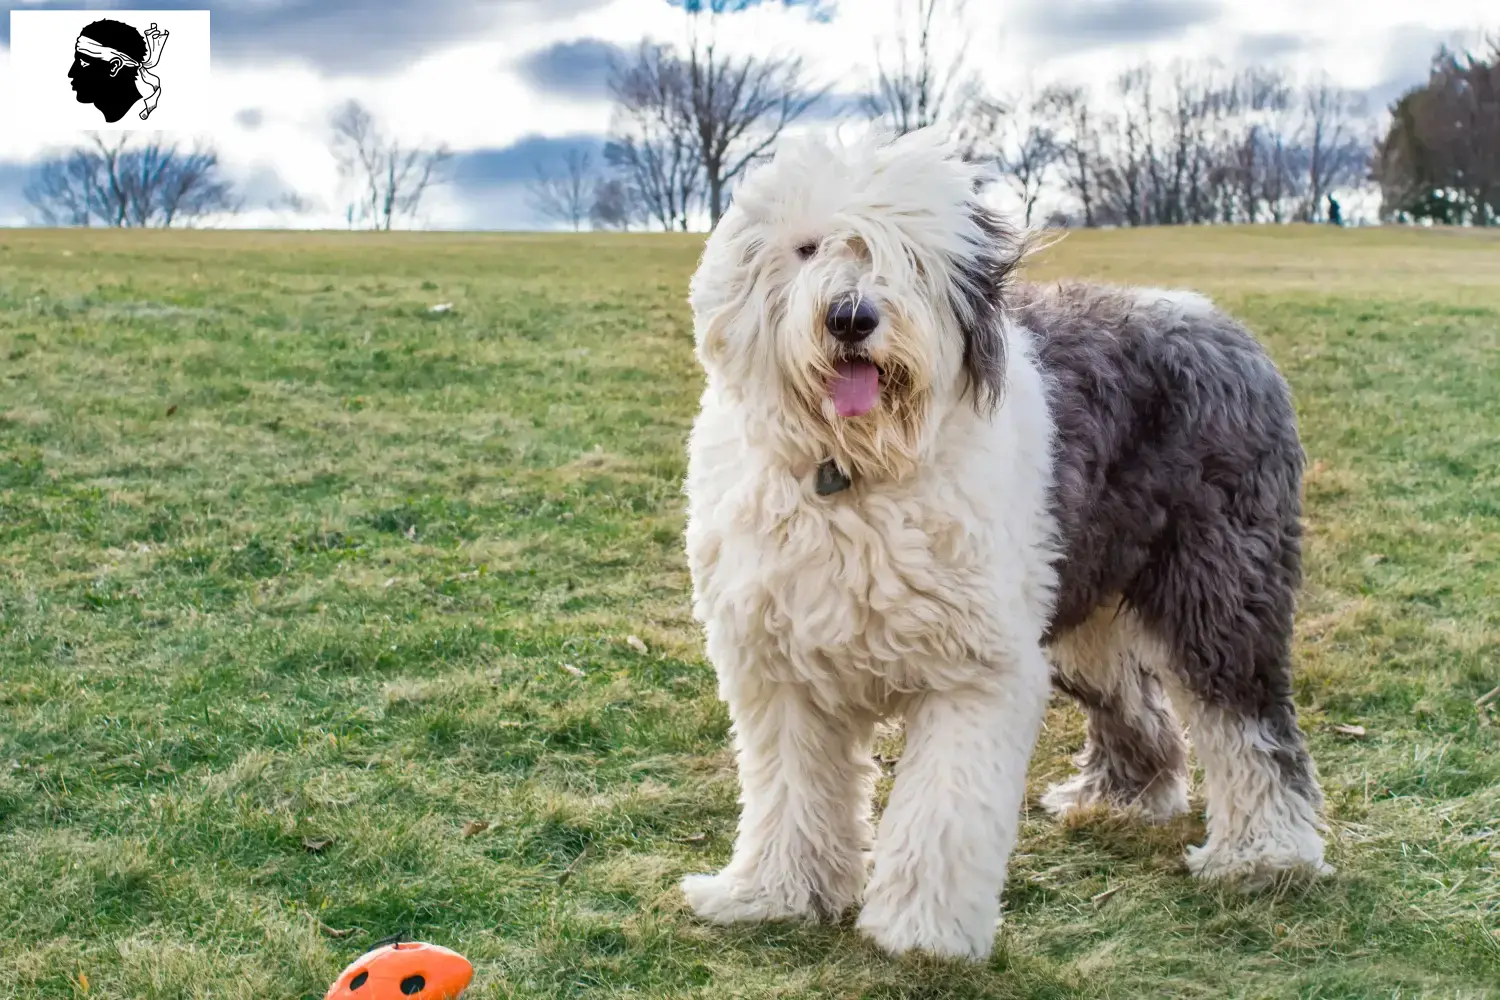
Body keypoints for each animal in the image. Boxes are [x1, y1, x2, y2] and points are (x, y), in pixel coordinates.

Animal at [678, 128, 1326, 959]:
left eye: (910, 257)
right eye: (807, 246)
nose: (851, 318)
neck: (853, 471)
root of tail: (1219, 322)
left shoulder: (973, 673)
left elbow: (941, 812)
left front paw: (920, 932)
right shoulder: (783, 667)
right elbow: (789, 793)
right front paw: (772, 894)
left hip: (1217, 583)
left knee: (1248, 719)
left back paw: (1265, 854)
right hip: (1080, 598)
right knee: (1135, 700)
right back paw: (1118, 798)